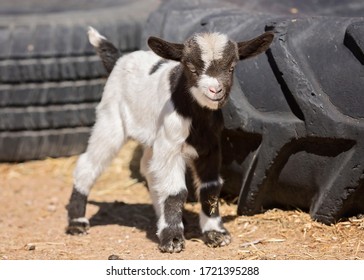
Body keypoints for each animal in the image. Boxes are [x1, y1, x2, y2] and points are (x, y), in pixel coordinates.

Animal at [67, 27, 272, 253]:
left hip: (151, 138)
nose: (215, 90)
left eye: (232, 67)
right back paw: (77, 222)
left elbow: (210, 188)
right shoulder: (171, 144)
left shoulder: (210, 147)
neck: (196, 116)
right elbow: (176, 191)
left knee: (149, 169)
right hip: (111, 120)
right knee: (89, 163)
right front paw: (172, 239)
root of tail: (120, 60)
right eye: (190, 66)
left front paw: (215, 233)